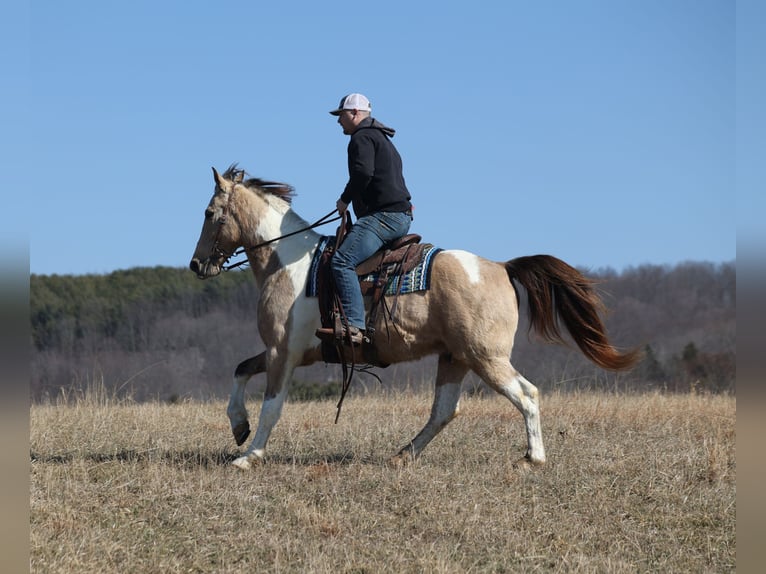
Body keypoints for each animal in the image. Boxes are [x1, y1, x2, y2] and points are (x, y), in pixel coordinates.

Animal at [189, 165, 639, 470]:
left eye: (210, 212)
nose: (196, 265)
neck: (290, 263)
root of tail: (501, 266)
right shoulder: (287, 351)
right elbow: (240, 370)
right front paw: (238, 427)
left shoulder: (283, 351)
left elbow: (272, 405)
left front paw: (249, 455)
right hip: (455, 358)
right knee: (444, 411)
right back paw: (404, 454)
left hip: (486, 358)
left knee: (526, 394)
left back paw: (534, 457)